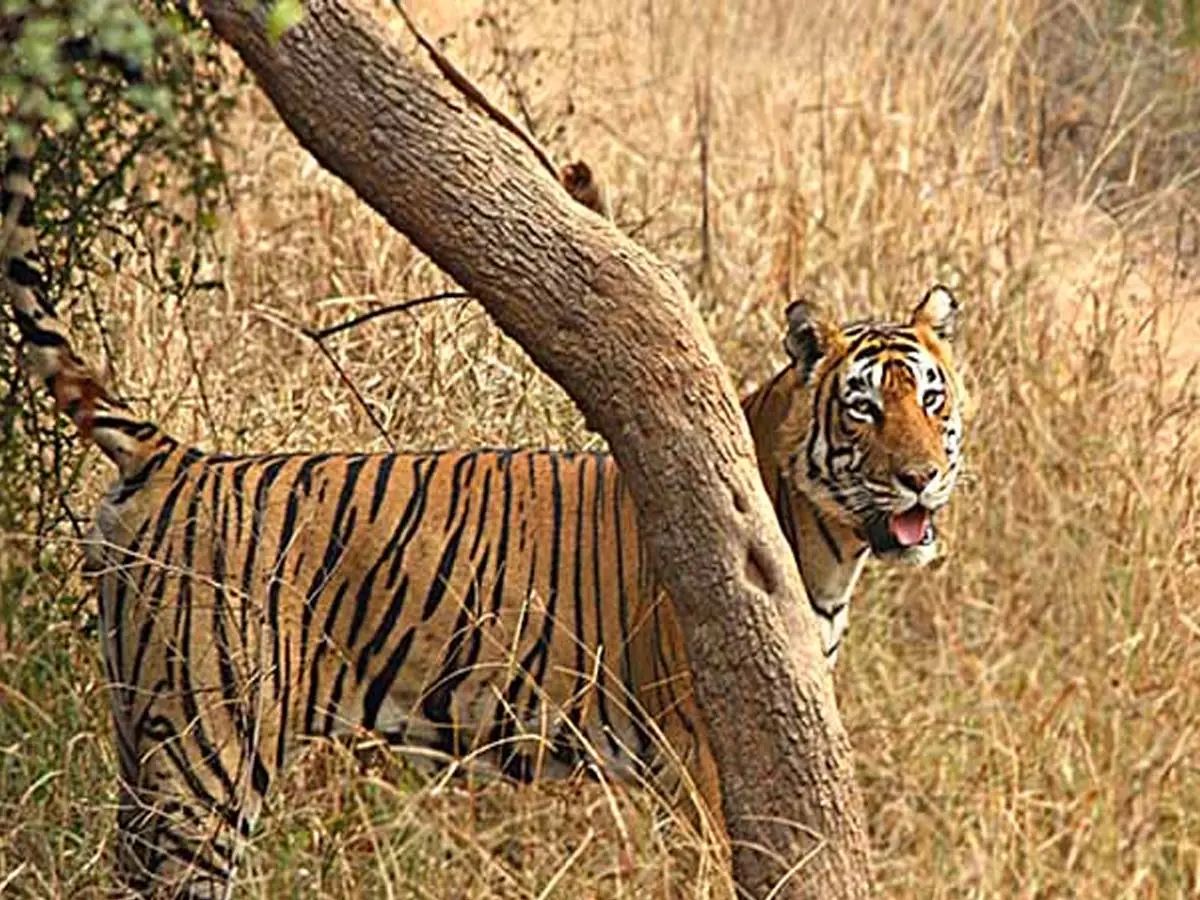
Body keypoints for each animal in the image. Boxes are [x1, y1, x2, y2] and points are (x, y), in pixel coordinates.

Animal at [2, 46, 968, 900]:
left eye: (931, 400)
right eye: (862, 410)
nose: (921, 478)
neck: (829, 543)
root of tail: (176, 456)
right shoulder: (705, 750)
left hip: (142, 734)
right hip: (209, 745)